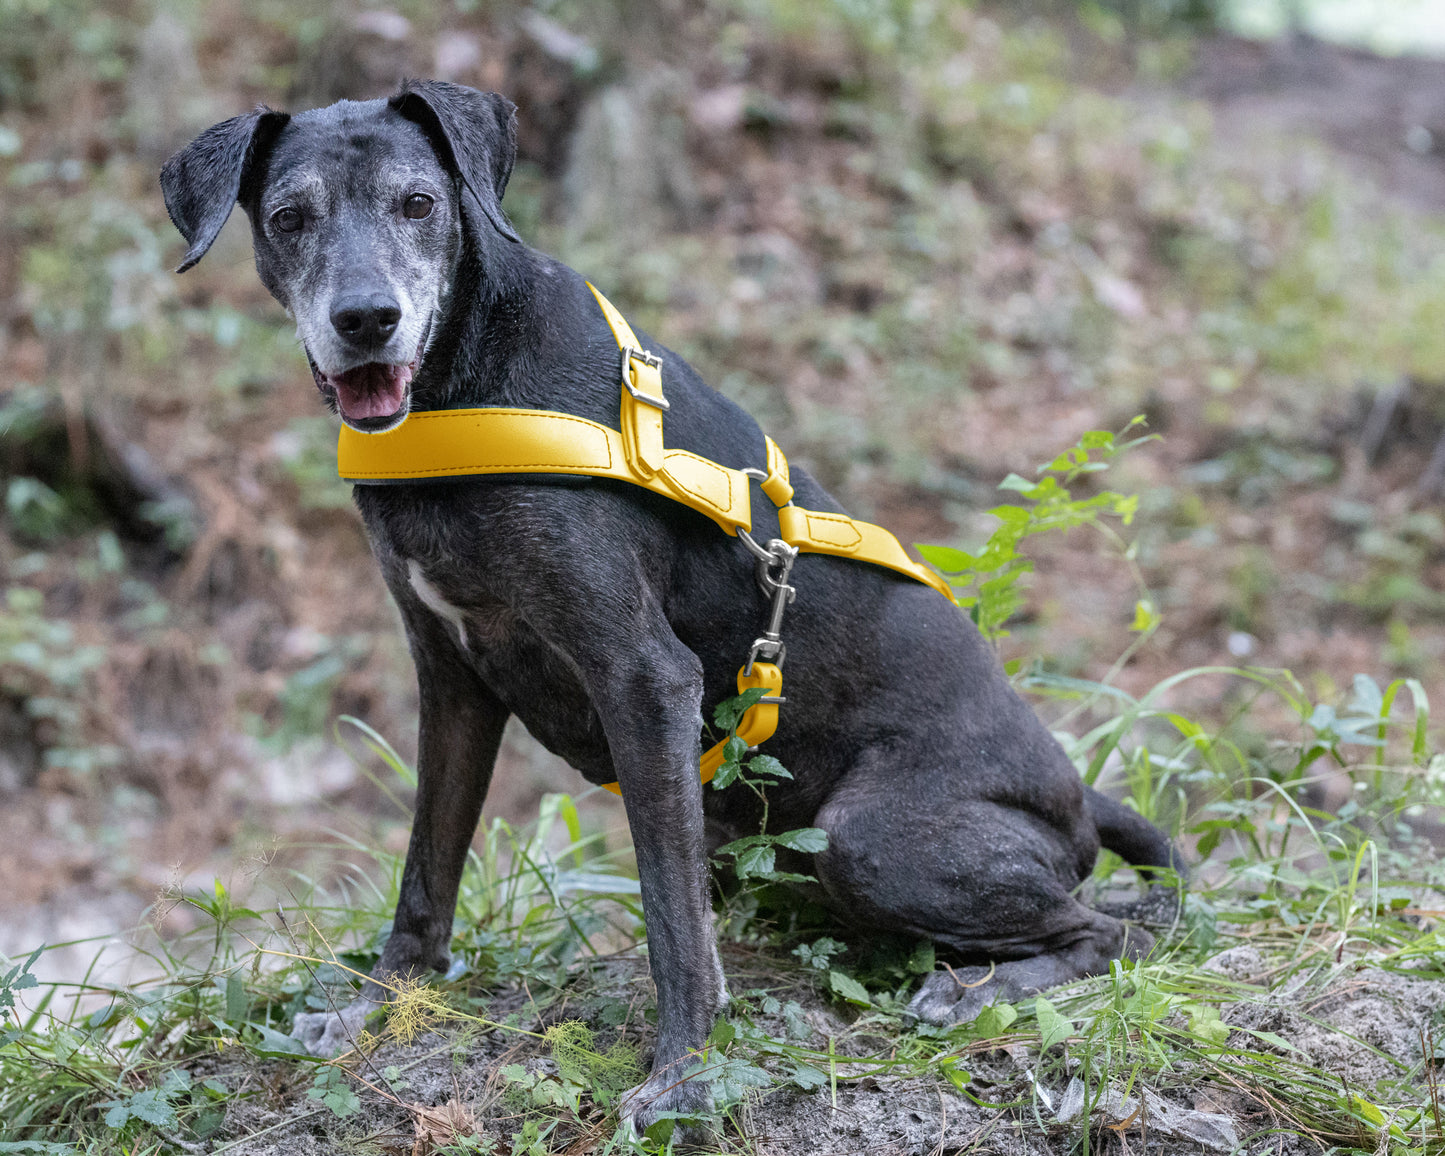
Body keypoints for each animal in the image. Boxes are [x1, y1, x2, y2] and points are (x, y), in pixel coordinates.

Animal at [161, 83, 1184, 1138]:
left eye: (418, 203)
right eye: (290, 217)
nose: (368, 319)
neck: (461, 387)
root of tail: (1078, 798)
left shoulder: (643, 678)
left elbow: (669, 917)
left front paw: (684, 1075)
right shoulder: (450, 679)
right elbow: (424, 872)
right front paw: (378, 1005)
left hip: (869, 836)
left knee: (1115, 932)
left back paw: (977, 989)